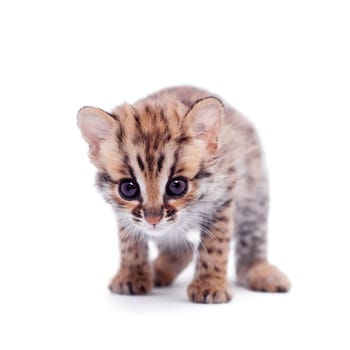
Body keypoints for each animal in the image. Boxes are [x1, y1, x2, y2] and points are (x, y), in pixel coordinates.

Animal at [77, 86, 290, 302]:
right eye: (128, 189)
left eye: (177, 186)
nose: (153, 219)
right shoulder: (126, 215)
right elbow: (130, 243)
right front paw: (132, 275)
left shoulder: (222, 200)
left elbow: (215, 246)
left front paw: (210, 284)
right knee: (184, 248)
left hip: (254, 193)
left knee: (251, 235)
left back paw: (260, 270)